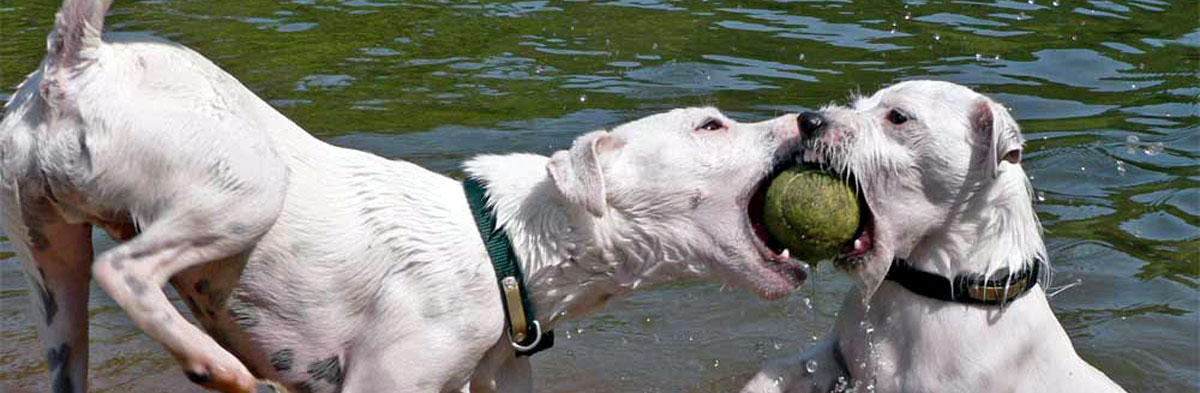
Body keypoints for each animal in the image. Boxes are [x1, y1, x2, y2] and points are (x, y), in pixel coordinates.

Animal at [2, 0, 806, 393]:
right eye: (710, 124)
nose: (810, 118)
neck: (504, 245)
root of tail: (79, 60)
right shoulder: (383, 381)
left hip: (50, 269)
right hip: (247, 191)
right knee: (125, 269)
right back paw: (215, 366)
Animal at [739, 80, 1123, 393]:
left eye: (898, 116)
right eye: (858, 104)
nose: (808, 120)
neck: (933, 285)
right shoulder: (839, 357)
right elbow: (783, 369)